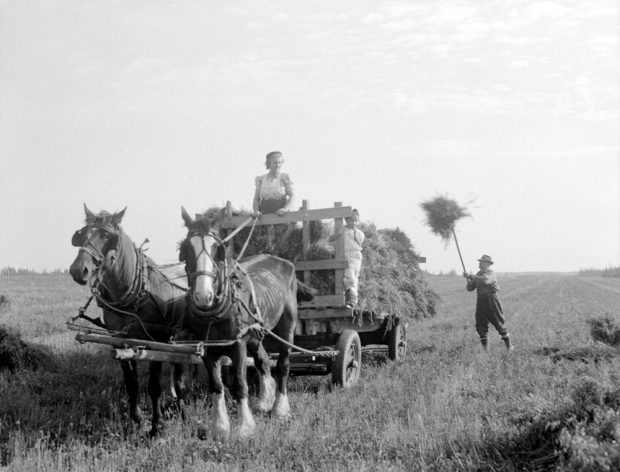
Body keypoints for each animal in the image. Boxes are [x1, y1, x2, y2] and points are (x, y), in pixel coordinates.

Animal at [69, 205, 189, 436]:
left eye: (108, 236)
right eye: (81, 234)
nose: (78, 270)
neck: (134, 294)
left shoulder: (156, 341)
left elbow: (154, 386)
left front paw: (157, 426)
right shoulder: (120, 340)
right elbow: (131, 384)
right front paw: (136, 420)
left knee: (181, 373)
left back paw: (182, 409)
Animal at [179, 208, 314, 436]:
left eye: (218, 249)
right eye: (187, 247)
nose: (203, 296)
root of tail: (286, 264)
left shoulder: (238, 344)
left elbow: (240, 383)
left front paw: (244, 427)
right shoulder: (208, 349)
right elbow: (216, 386)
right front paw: (220, 427)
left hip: (287, 327)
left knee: (283, 365)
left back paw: (279, 408)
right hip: (255, 333)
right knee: (263, 361)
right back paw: (263, 402)